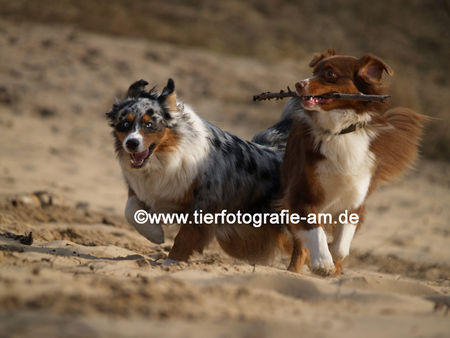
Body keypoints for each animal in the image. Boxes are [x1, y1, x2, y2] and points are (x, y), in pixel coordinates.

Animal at [282, 49, 426, 274]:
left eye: (330, 74)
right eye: (314, 72)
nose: (298, 84)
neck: (338, 132)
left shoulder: (355, 200)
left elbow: (341, 247)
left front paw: (332, 259)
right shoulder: (300, 195)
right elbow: (315, 231)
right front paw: (323, 263)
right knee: (300, 245)